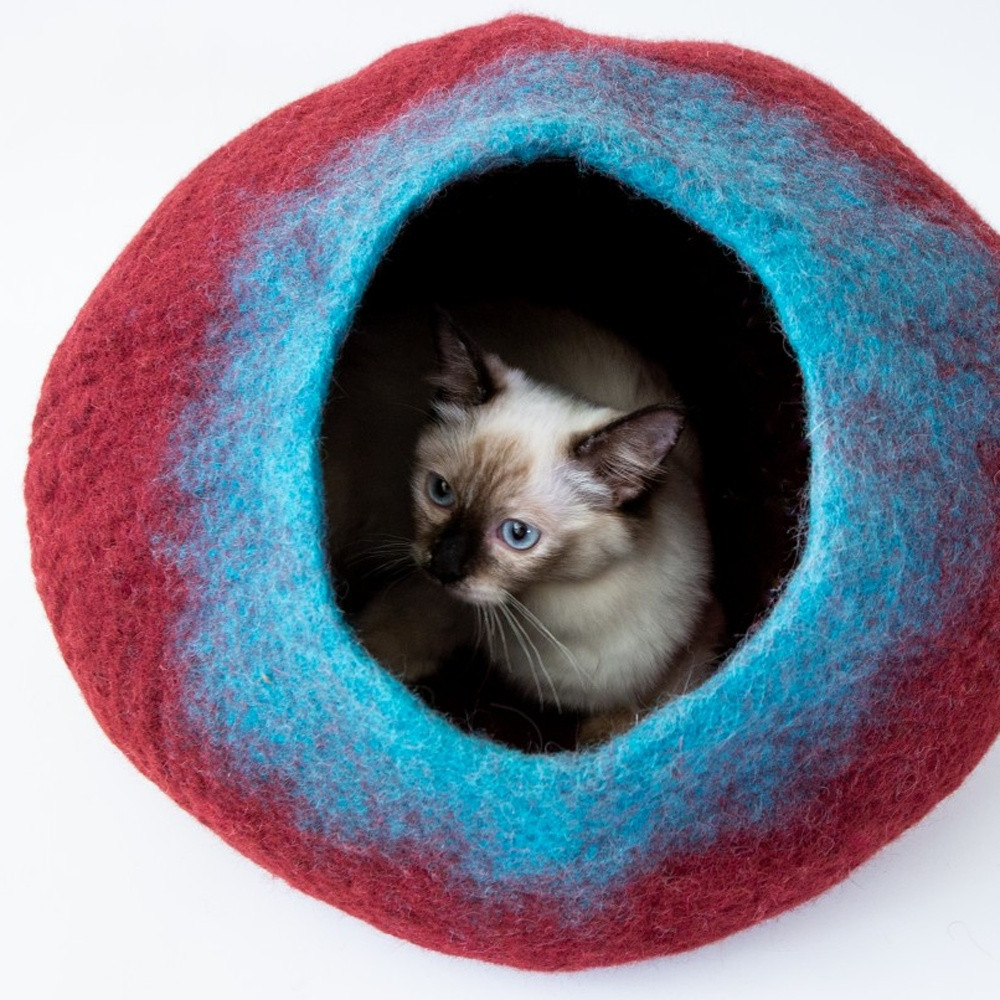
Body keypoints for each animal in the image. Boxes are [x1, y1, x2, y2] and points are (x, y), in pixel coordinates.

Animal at [324, 304, 724, 744]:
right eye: (441, 492)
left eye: (518, 535)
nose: (443, 566)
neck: (536, 612)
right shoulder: (437, 601)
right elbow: (394, 631)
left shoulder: (697, 647)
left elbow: (627, 720)